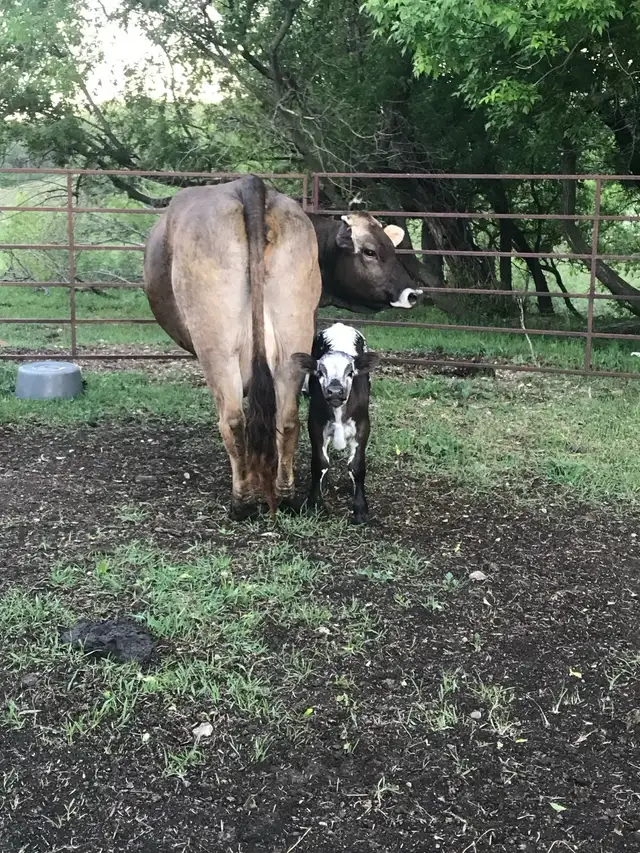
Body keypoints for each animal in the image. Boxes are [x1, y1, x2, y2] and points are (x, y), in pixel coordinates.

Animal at [293, 323, 380, 525]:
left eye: (350, 372)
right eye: (320, 372)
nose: (334, 391)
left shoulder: (363, 426)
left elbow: (356, 465)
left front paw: (360, 509)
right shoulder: (315, 425)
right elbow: (319, 463)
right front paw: (314, 504)